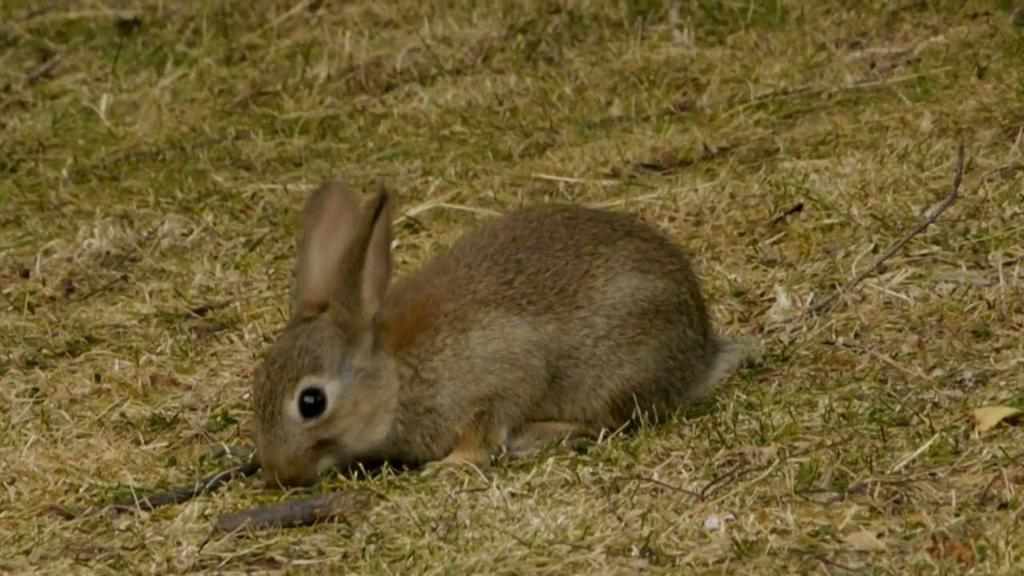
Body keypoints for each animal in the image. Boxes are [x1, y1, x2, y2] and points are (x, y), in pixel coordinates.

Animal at [251, 179, 749, 483]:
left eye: (311, 402)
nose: (280, 472)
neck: (395, 377)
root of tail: (700, 354)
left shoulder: (500, 372)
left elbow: (487, 422)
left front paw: (453, 464)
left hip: (614, 371)